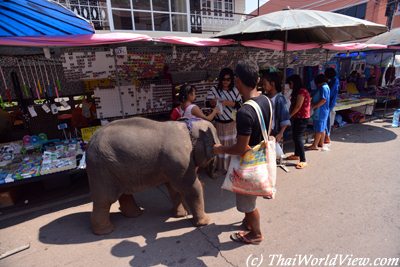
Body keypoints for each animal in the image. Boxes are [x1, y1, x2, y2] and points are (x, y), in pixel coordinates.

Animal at [85, 118, 220, 236]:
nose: (215, 175)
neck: (188, 127)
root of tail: (90, 141)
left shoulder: (173, 165)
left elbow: (173, 188)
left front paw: (180, 215)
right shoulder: (180, 161)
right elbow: (191, 187)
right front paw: (205, 222)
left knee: (123, 193)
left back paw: (135, 214)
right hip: (101, 168)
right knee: (104, 199)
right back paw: (105, 231)